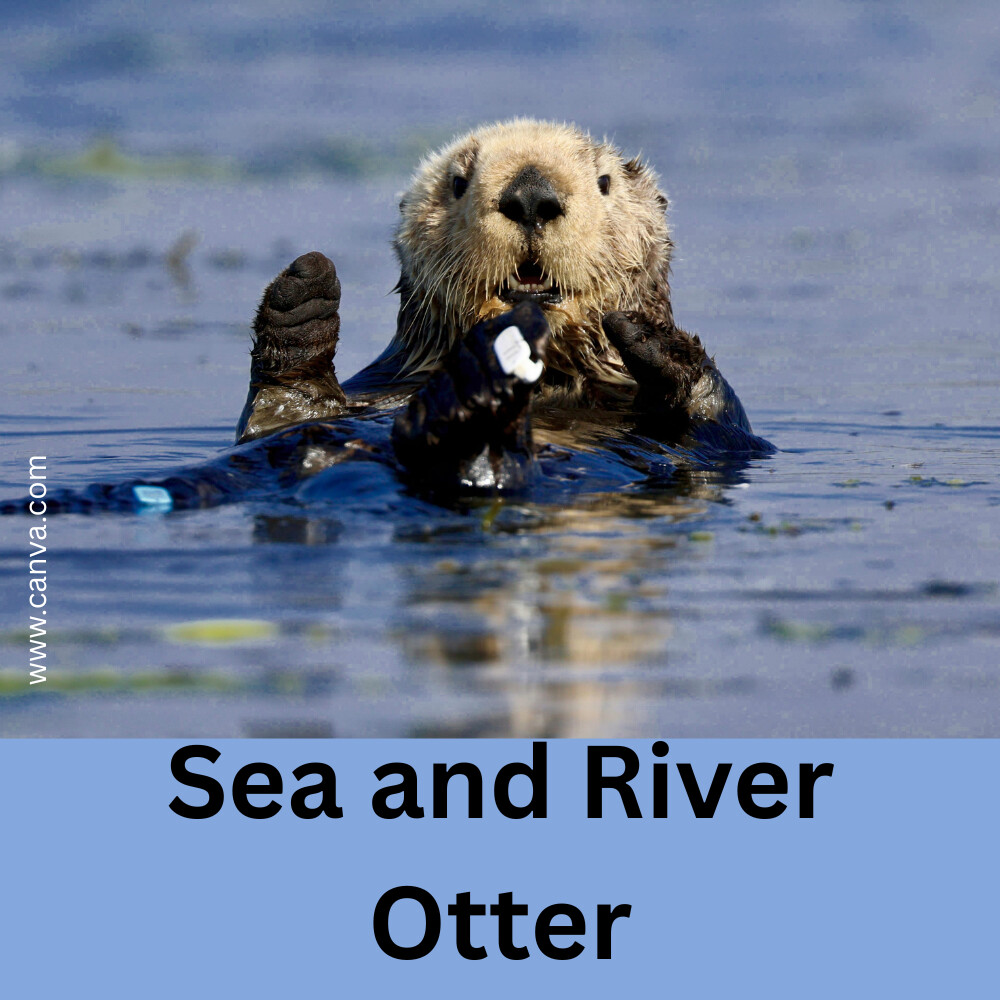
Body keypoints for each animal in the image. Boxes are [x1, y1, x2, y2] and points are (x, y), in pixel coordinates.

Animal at [3, 120, 770, 515]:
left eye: (605, 182)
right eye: (458, 181)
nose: (530, 194)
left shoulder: (720, 442)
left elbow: (719, 425)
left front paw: (653, 336)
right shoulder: (375, 388)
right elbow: (287, 409)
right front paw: (304, 295)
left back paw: (470, 406)